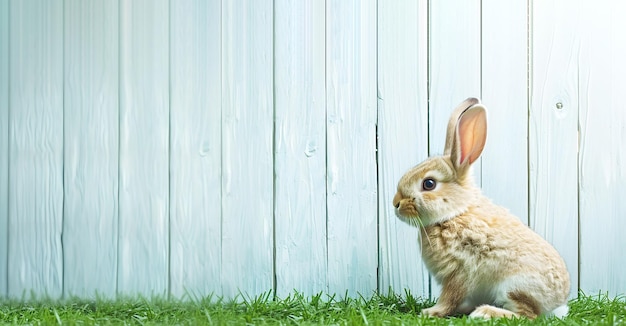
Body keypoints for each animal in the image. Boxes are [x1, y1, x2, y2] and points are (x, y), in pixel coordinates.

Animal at [392, 97, 568, 318]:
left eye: (429, 184)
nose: (395, 203)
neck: (454, 214)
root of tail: (558, 305)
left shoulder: (459, 271)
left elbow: (449, 297)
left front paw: (430, 312)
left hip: (514, 286)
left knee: (527, 315)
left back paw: (484, 313)